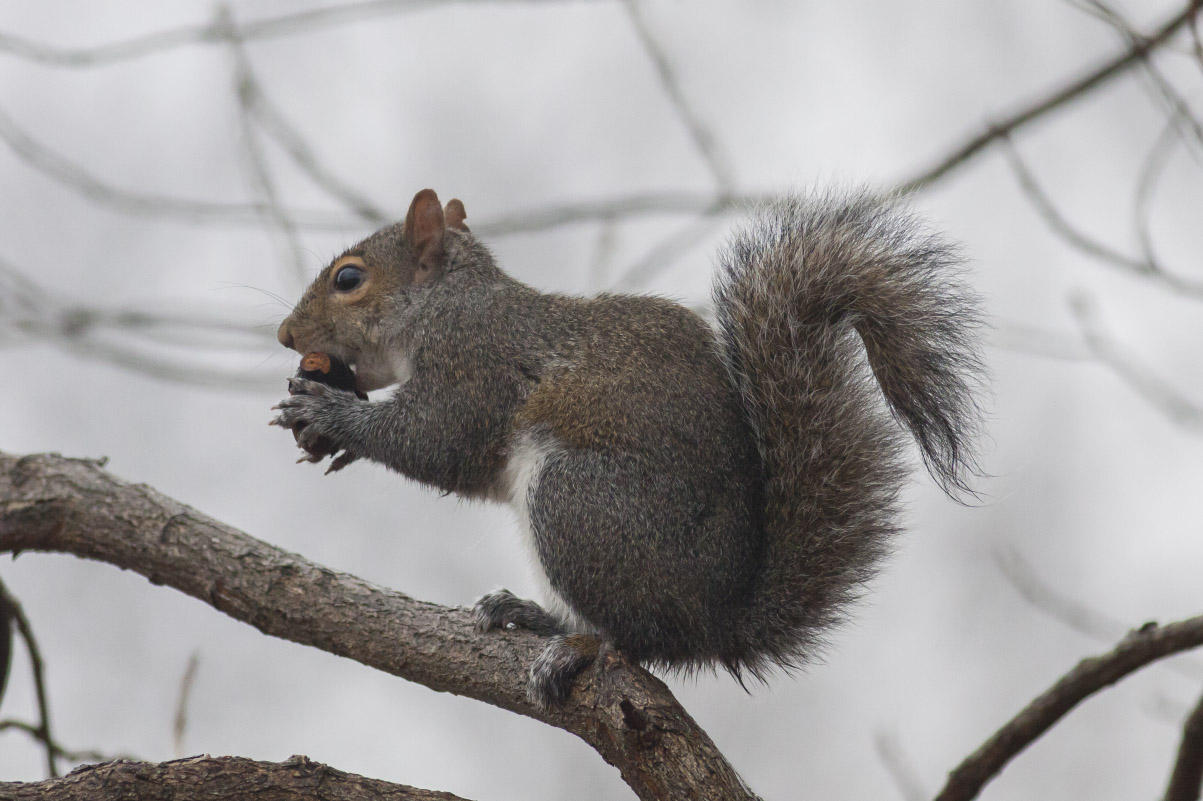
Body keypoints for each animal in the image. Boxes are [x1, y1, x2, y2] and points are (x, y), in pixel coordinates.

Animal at [275, 187, 986, 707]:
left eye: (348, 278)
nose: (285, 334)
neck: (444, 302)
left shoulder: (475, 364)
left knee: (640, 640)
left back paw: (578, 646)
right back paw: (533, 616)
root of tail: (716, 621)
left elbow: (437, 441)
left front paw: (332, 414)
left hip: (576, 503)